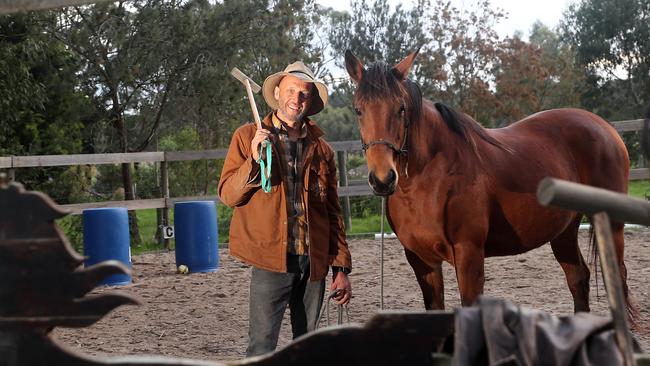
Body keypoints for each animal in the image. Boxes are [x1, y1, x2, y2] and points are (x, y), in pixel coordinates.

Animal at [344, 50, 632, 316]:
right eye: (358, 110)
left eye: (401, 108)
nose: (382, 179)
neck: (428, 180)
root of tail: (605, 127)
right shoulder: (422, 261)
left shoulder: (469, 255)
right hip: (564, 231)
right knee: (578, 279)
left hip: (612, 226)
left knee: (618, 279)